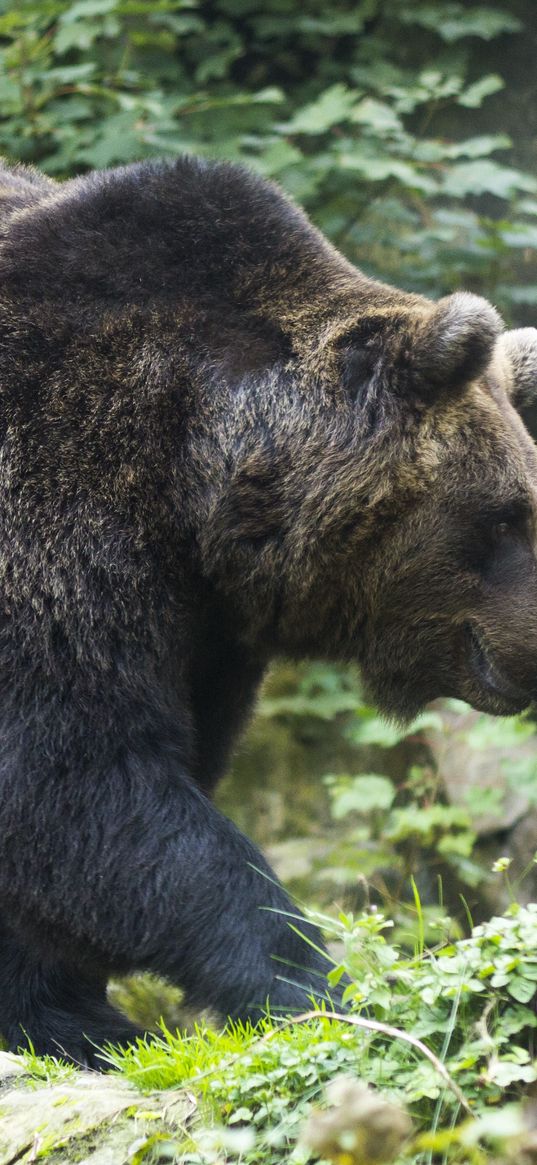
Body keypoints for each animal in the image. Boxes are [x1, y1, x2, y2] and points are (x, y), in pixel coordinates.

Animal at [0, 157, 535, 1067]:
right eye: (506, 515)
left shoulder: (202, 630)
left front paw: (64, 1008)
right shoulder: (50, 510)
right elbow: (76, 773)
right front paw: (314, 984)